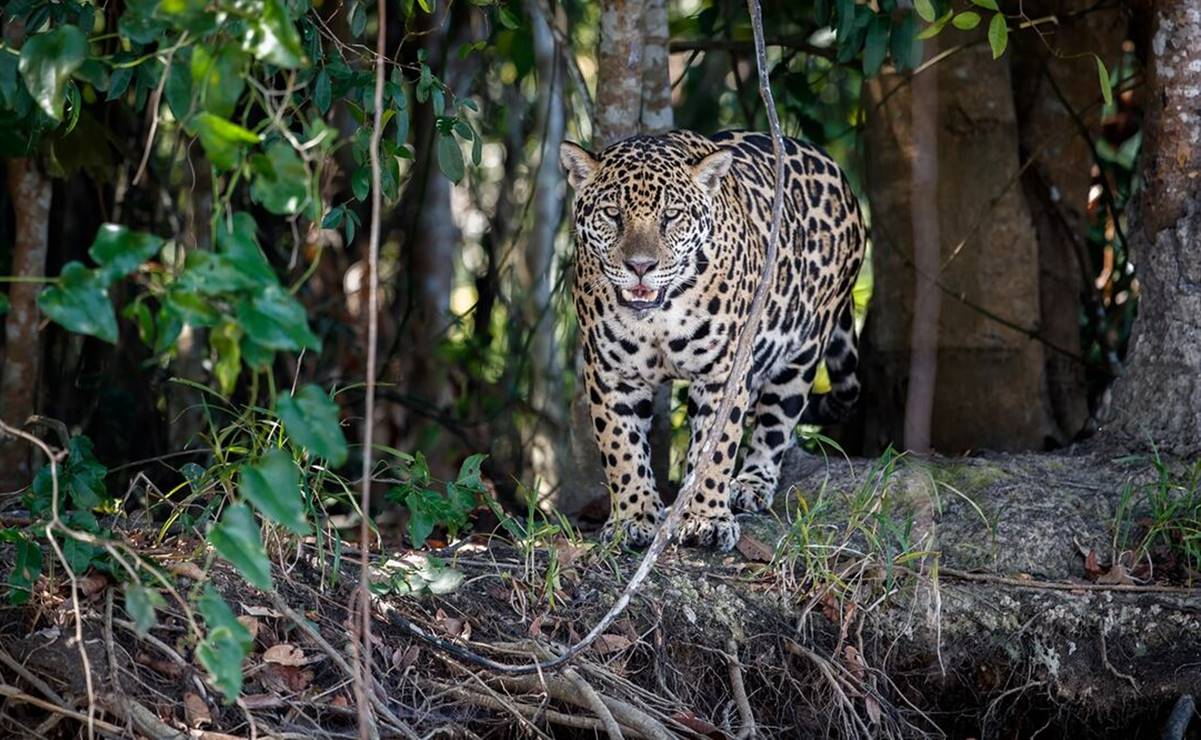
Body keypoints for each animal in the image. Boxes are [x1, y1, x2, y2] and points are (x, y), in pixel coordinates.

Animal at [560, 129, 867, 552]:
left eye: (671, 216)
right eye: (612, 213)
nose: (640, 266)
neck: (659, 314)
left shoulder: (725, 370)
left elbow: (715, 447)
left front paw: (707, 518)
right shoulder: (610, 374)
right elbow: (621, 448)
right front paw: (633, 518)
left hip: (803, 350)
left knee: (777, 420)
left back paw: (750, 484)